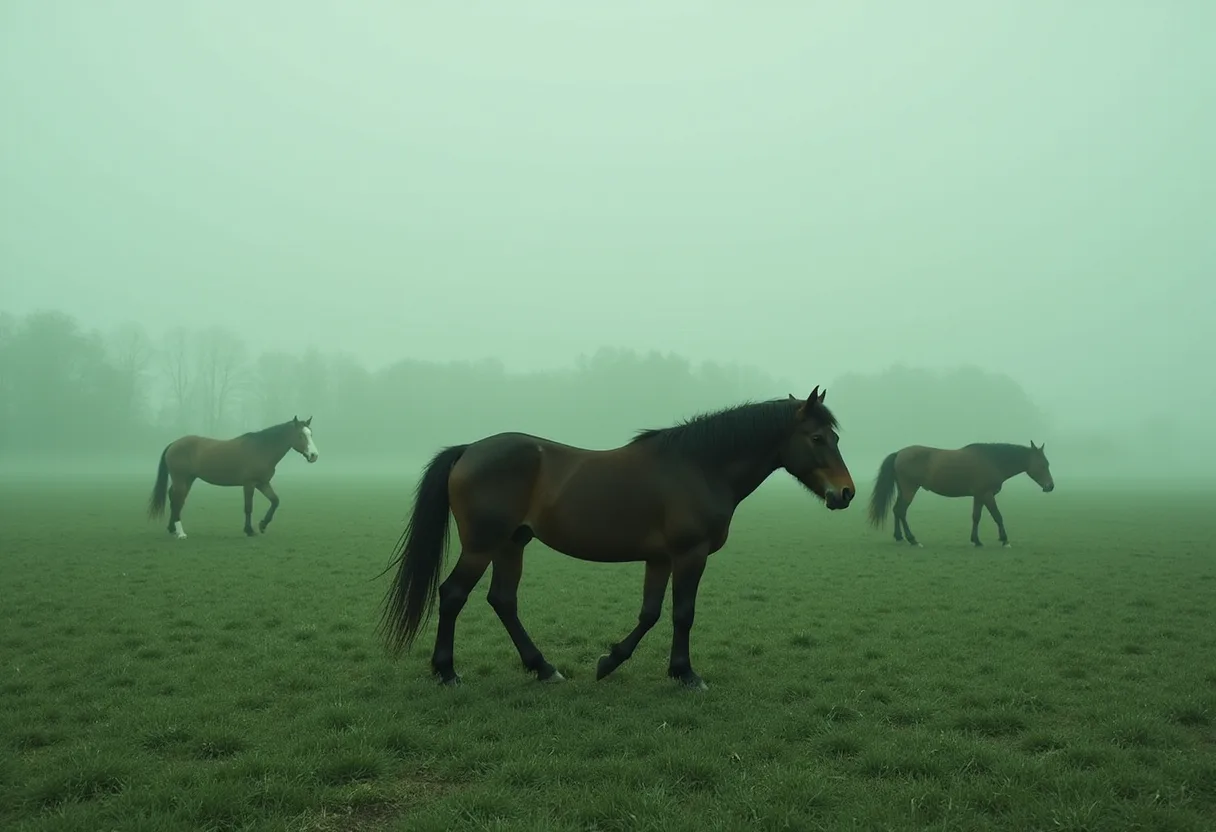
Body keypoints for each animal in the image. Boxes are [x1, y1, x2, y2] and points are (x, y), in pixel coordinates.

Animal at [147, 416, 319, 539]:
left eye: (311, 434)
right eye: (300, 435)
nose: (314, 455)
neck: (262, 448)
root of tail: (173, 444)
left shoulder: (262, 483)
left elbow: (275, 501)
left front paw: (263, 524)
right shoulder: (249, 484)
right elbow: (248, 507)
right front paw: (249, 530)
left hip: (187, 479)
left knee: (175, 499)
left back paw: (172, 529)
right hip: (181, 479)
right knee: (177, 501)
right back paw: (181, 533)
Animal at [377, 388, 855, 691]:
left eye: (835, 437)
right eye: (817, 438)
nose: (846, 493)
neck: (699, 466)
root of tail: (469, 449)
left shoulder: (660, 559)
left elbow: (650, 614)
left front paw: (610, 662)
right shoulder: (690, 555)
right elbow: (683, 614)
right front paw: (686, 675)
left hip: (512, 544)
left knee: (503, 601)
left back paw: (543, 668)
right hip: (482, 546)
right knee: (453, 595)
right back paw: (448, 673)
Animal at [867, 441, 1054, 548]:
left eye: (1048, 463)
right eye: (1042, 465)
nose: (1050, 486)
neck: (992, 460)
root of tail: (899, 453)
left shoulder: (979, 496)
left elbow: (976, 517)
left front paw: (976, 540)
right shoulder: (987, 495)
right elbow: (997, 516)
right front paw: (1005, 540)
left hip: (904, 489)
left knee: (896, 511)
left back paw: (899, 537)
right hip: (909, 489)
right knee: (901, 511)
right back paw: (913, 539)